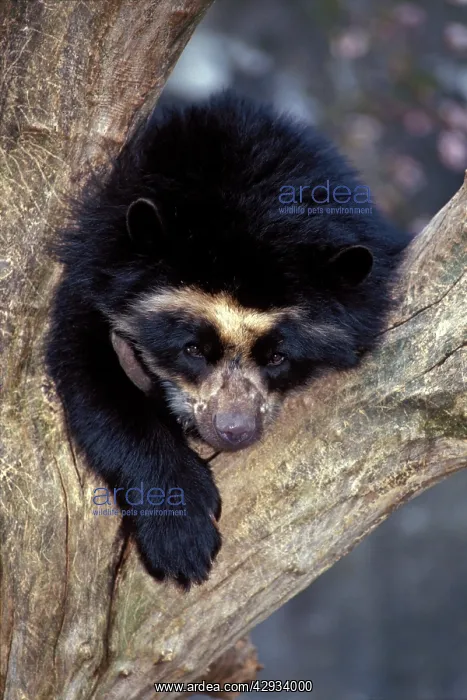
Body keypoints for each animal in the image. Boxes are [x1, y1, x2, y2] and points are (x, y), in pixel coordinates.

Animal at [45, 91, 411, 587]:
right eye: (193, 349)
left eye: (277, 357)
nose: (234, 431)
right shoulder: (93, 271)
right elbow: (90, 378)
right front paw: (182, 540)